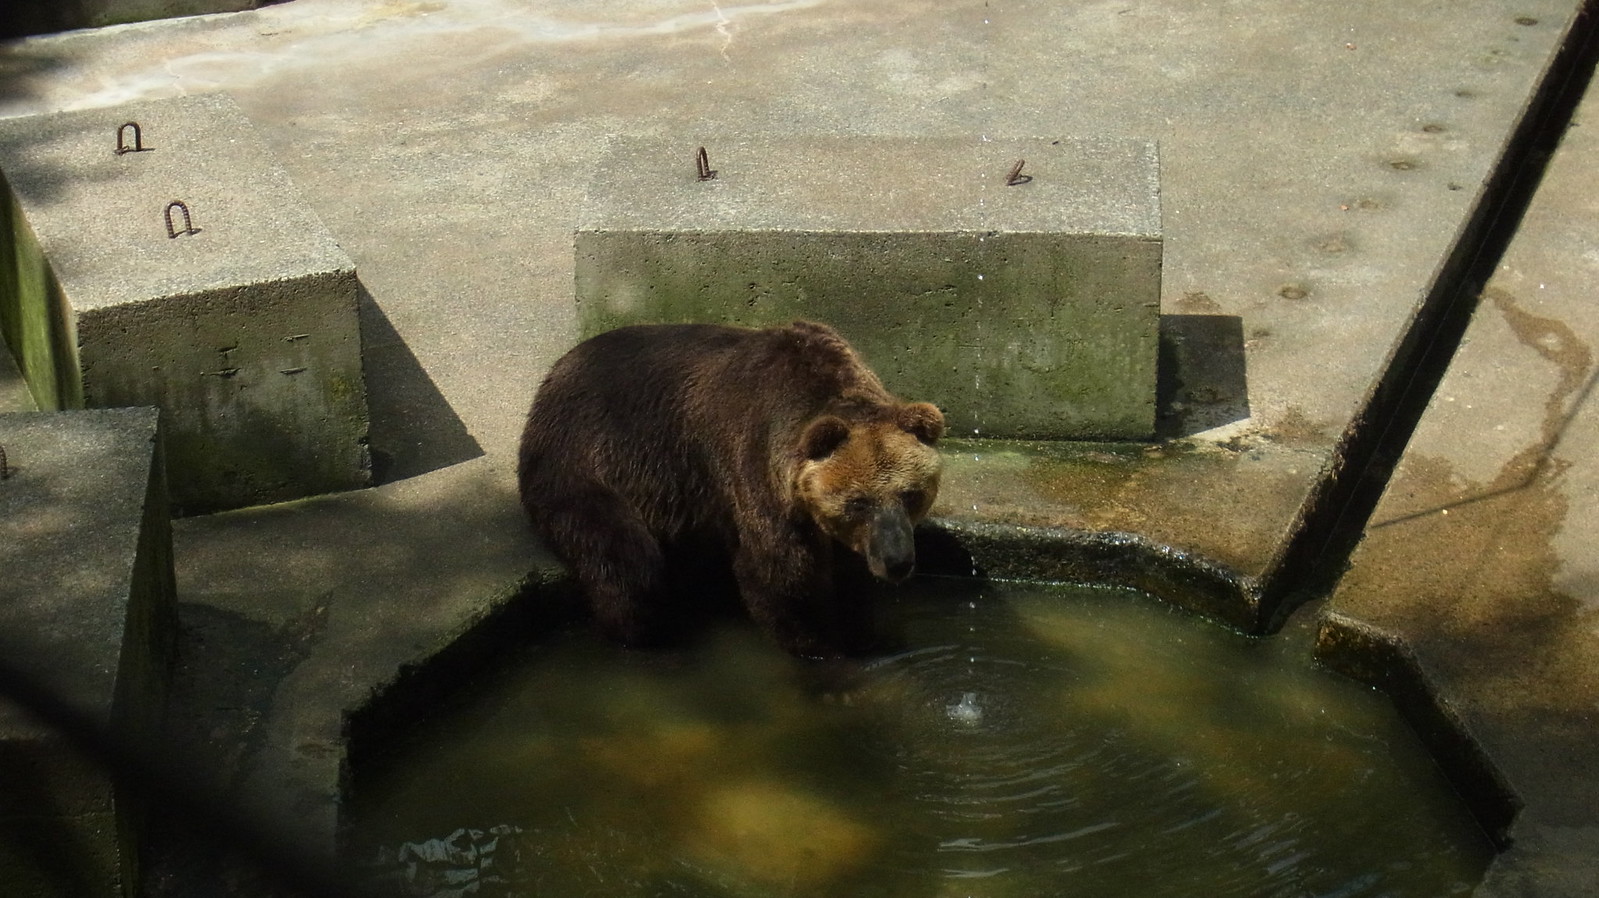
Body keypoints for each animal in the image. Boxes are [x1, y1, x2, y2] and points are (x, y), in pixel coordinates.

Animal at [518, 317, 940, 655]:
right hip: (589, 461)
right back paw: (643, 631)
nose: (898, 561)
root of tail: (555, 372)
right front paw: (819, 643)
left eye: (911, 494)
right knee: (625, 559)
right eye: (858, 502)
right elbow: (781, 574)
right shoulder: (757, 467)